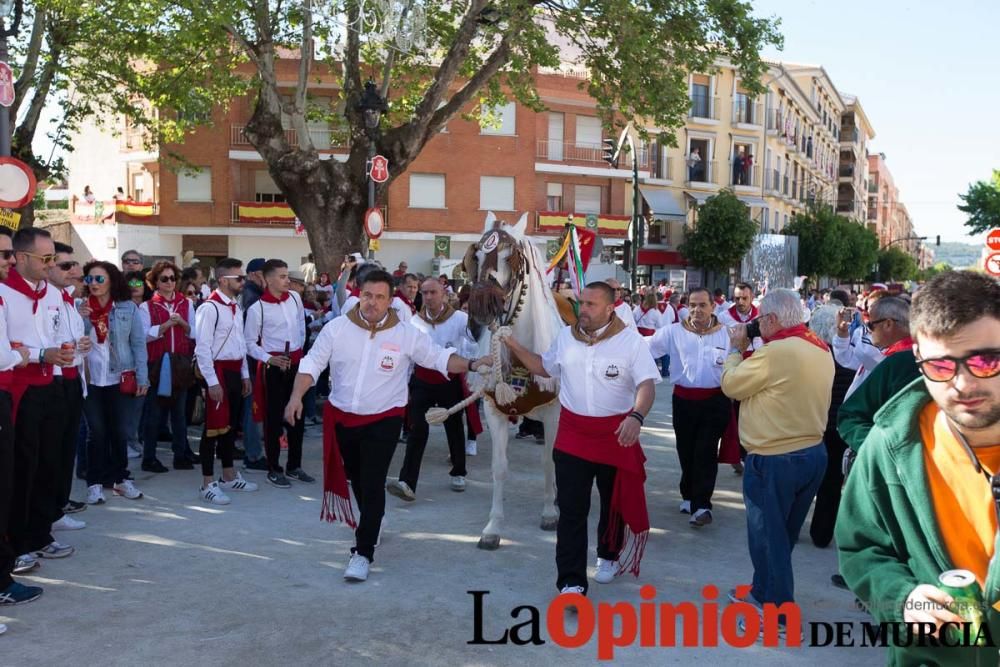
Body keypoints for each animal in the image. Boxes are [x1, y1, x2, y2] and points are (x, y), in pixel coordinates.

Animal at [460, 213, 564, 548]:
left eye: (511, 257)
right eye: (477, 256)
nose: (480, 304)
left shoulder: (553, 414)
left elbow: (549, 462)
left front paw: (549, 513)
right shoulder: (496, 412)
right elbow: (499, 468)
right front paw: (493, 526)